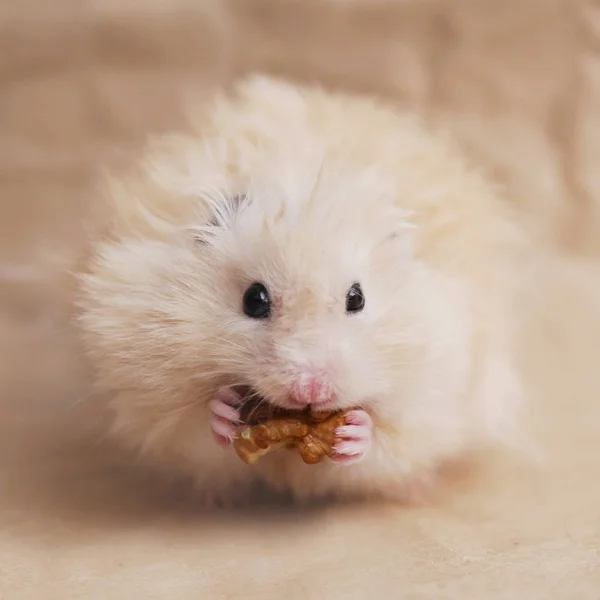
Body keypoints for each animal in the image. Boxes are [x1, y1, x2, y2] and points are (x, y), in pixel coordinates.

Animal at [74, 75, 524, 506]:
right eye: (254, 300)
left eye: (357, 298)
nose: (312, 389)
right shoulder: (148, 383)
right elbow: (195, 423)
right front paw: (223, 413)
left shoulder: (434, 392)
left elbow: (384, 437)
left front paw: (354, 431)